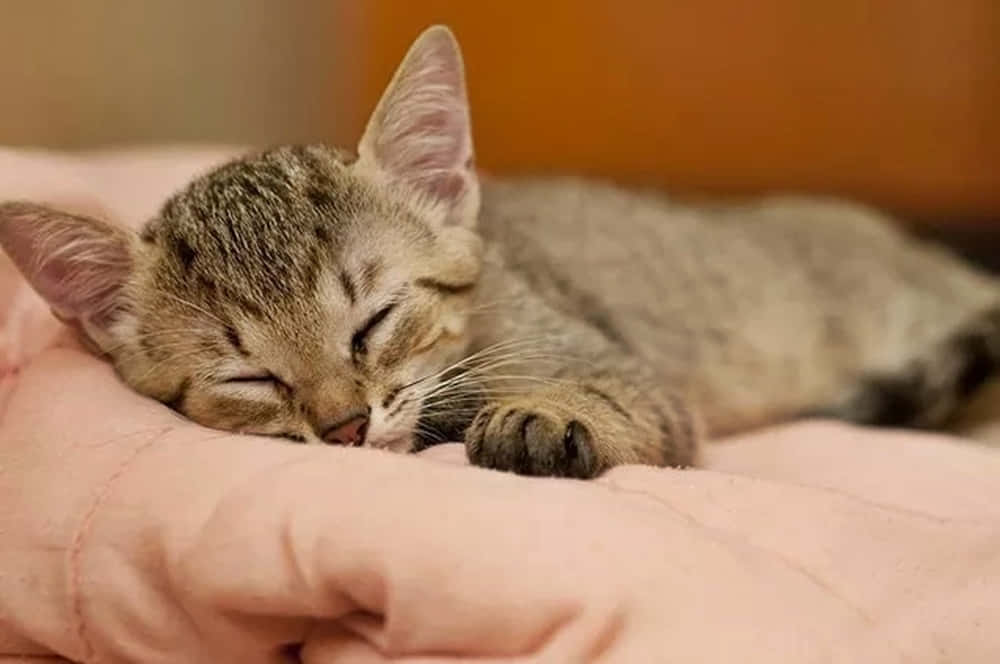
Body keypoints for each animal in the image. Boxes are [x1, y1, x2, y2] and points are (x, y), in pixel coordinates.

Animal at [1, 27, 1000, 478]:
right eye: (250, 379)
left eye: (372, 323)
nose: (345, 427)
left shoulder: (632, 376)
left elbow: (616, 398)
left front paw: (547, 417)